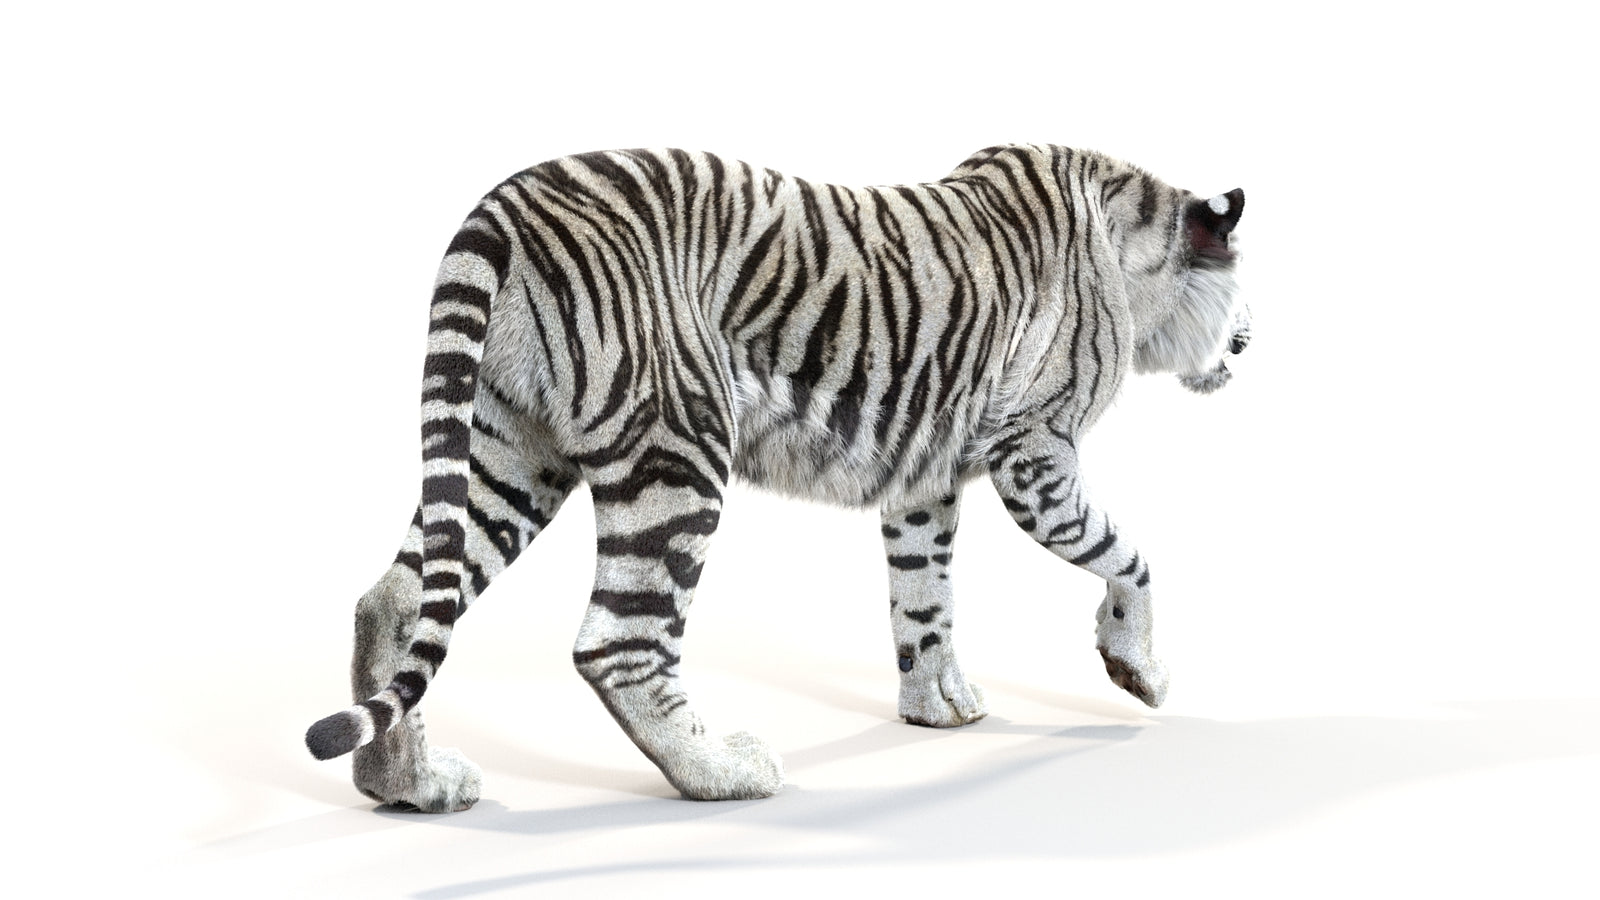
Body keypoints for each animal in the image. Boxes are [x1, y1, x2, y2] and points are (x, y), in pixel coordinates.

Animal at [305, 144, 1249, 809]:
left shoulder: (925, 481)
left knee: (394, 598)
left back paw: (408, 787)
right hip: (675, 449)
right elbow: (1129, 558)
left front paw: (937, 705)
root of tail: (507, 204)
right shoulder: (1036, 452)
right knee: (619, 640)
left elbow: (924, 597)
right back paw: (723, 772)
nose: (1248, 345)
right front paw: (1139, 671)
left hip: (507, 451)